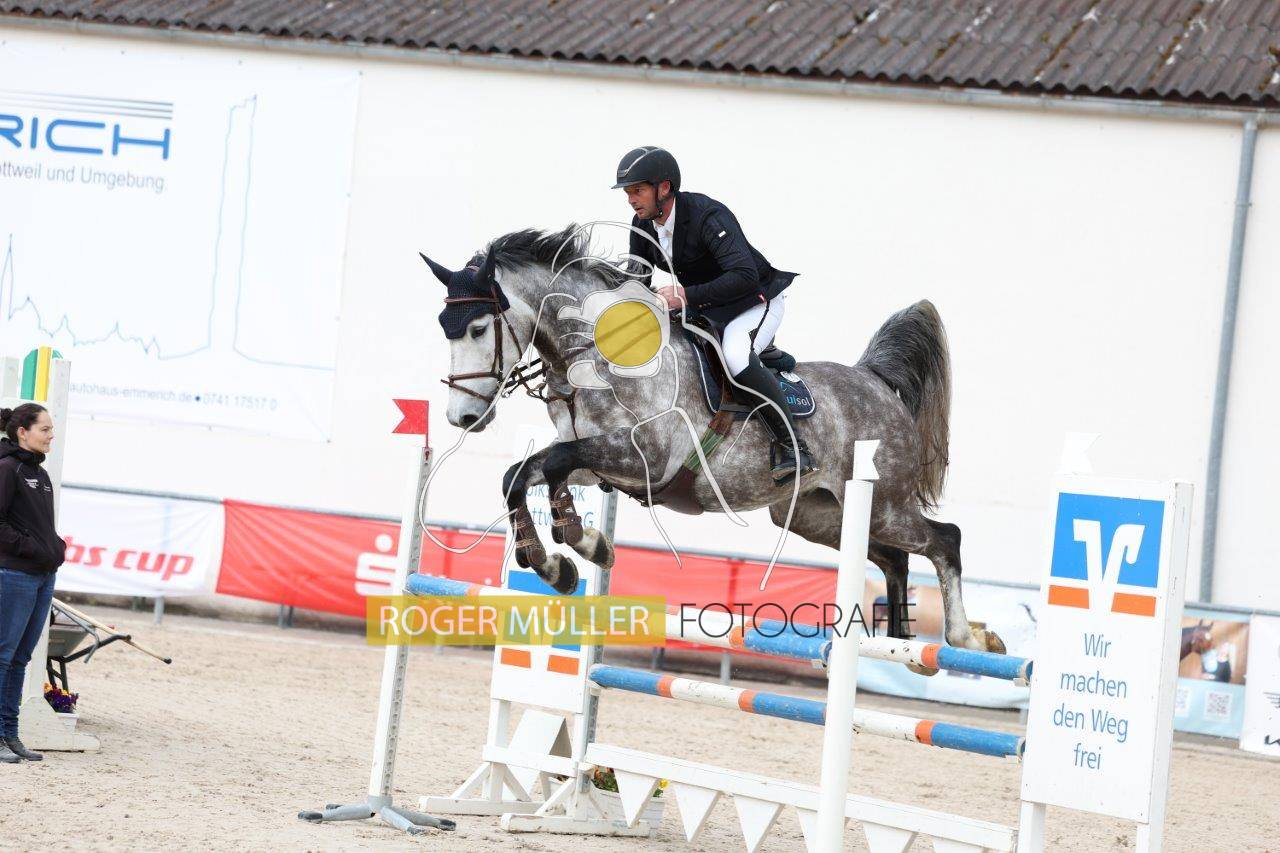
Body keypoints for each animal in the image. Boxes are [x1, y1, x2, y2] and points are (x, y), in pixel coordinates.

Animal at [424, 225, 1005, 659]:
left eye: (478, 328)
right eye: (443, 327)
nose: (462, 416)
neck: (601, 356)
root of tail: (877, 382)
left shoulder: (645, 457)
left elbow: (553, 464)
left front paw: (576, 546)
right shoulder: (601, 459)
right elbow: (524, 473)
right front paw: (562, 561)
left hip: (884, 504)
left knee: (944, 539)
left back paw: (968, 638)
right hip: (814, 515)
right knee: (894, 559)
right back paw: (901, 641)